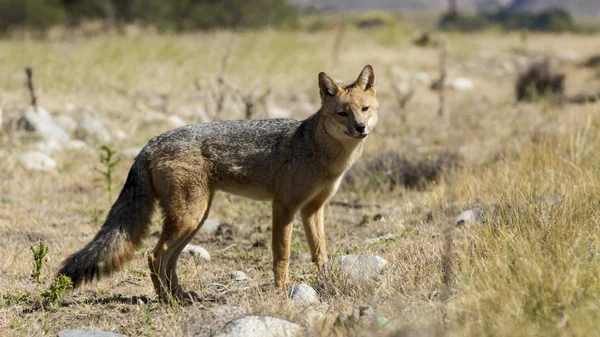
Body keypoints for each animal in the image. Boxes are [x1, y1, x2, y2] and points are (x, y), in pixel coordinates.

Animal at [57, 64, 380, 300]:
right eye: (342, 113)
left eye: (365, 110)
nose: (360, 128)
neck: (318, 150)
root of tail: (151, 142)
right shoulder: (284, 207)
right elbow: (282, 255)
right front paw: (282, 289)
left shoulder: (313, 209)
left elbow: (320, 252)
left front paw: (327, 282)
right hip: (190, 217)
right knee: (153, 255)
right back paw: (167, 300)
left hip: (195, 219)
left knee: (168, 259)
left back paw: (180, 296)